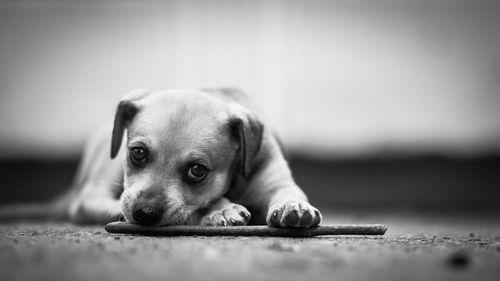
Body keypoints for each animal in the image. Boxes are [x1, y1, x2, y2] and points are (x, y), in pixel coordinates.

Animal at [0, 88, 320, 228]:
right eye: (138, 153)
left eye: (197, 170)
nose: (145, 213)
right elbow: (202, 205)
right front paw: (221, 208)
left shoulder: (276, 181)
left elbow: (288, 194)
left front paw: (293, 207)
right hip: (102, 176)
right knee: (96, 204)